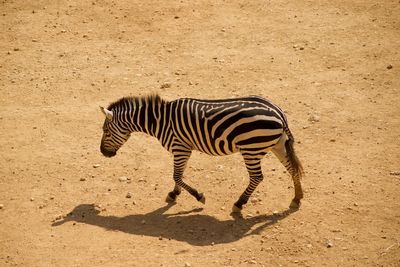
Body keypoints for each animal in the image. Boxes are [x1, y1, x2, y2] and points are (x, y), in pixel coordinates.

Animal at [99, 95, 304, 215]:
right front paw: (174, 194)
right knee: (292, 168)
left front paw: (198, 196)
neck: (158, 120)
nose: (103, 153)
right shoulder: (183, 149)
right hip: (277, 144)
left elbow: (176, 175)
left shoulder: (180, 148)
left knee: (257, 177)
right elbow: (179, 175)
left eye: (106, 131)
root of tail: (279, 112)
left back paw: (239, 203)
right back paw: (296, 199)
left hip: (251, 149)